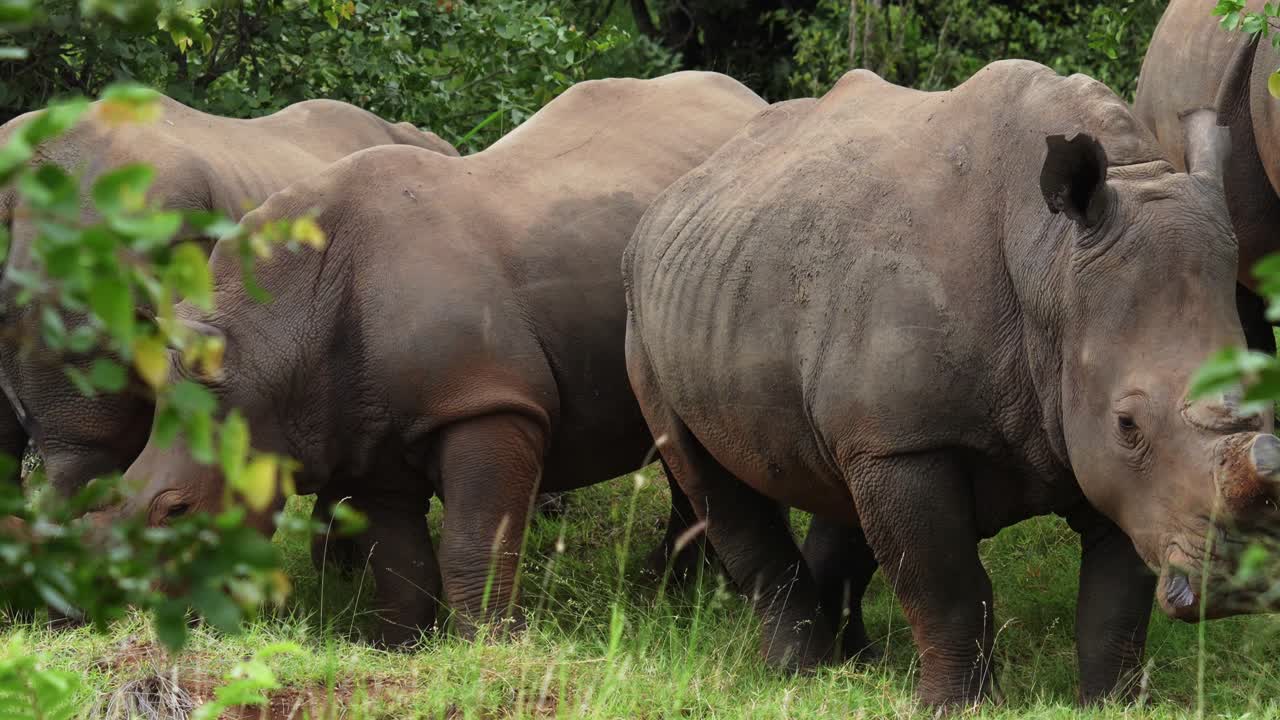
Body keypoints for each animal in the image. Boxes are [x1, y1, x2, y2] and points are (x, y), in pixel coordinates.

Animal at [92, 72, 767, 646]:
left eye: (178, 510)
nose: (147, 621)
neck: (272, 341)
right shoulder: (360, 426)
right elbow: (399, 558)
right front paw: (396, 645)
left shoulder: (484, 402)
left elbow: (474, 540)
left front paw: (486, 648)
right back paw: (669, 586)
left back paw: (677, 590)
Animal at [623, 60, 1280, 708]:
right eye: (1128, 424)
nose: (1244, 584)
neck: (1051, 264)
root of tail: (676, 192)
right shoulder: (909, 444)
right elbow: (946, 584)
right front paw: (953, 707)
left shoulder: (1118, 468)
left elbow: (1117, 600)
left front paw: (1114, 705)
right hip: (642, 314)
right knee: (712, 486)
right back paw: (800, 677)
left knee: (840, 483)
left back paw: (856, 668)